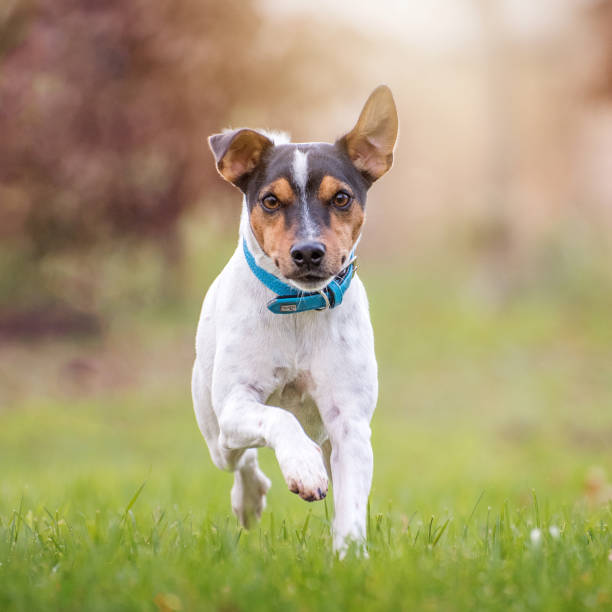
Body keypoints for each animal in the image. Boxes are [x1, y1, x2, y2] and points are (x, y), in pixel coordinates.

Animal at [194, 83, 400, 556]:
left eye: (341, 198)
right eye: (271, 201)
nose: (308, 252)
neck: (298, 308)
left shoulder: (350, 424)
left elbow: (351, 504)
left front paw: (350, 553)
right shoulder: (236, 403)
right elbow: (278, 419)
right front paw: (302, 467)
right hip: (215, 430)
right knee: (240, 459)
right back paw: (250, 499)